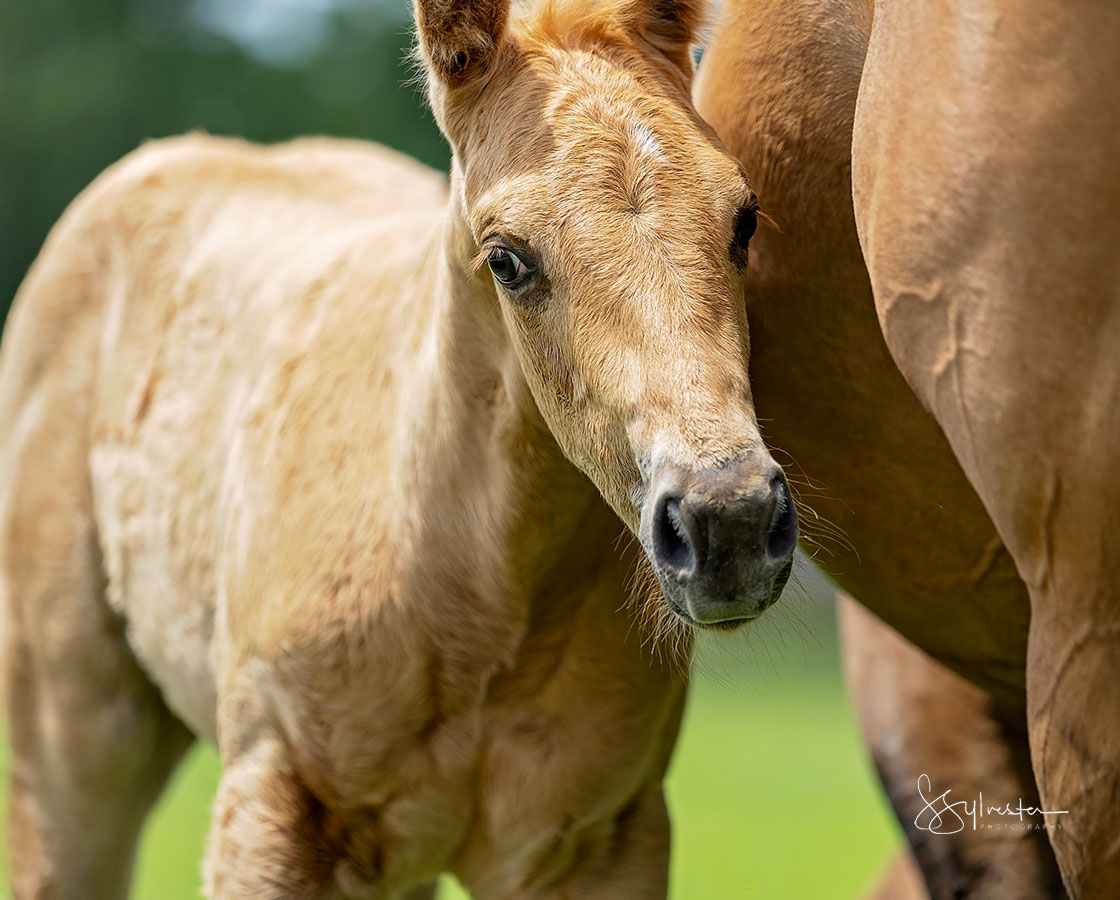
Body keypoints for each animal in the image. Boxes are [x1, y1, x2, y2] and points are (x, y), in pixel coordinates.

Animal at [0, 0, 797, 891]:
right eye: (507, 259)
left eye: (744, 218)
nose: (728, 521)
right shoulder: (268, 811)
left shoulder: (596, 841)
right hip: (70, 749)